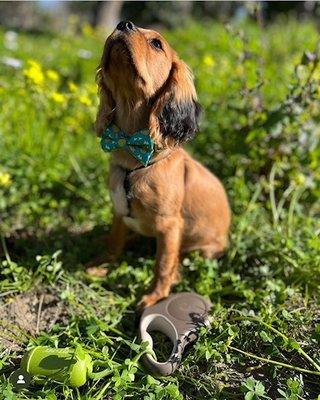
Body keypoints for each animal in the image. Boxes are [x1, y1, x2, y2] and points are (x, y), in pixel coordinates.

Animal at [90, 21, 230, 310]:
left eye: (156, 43)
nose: (123, 23)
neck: (135, 158)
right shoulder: (119, 211)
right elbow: (114, 241)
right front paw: (102, 264)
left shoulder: (169, 226)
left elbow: (163, 264)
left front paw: (155, 296)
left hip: (202, 248)